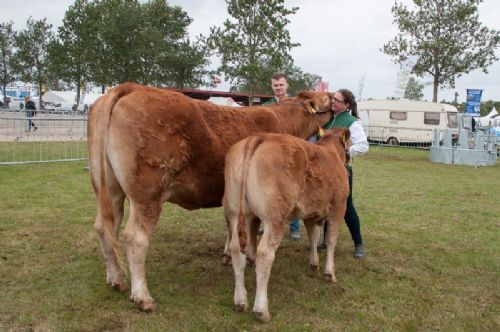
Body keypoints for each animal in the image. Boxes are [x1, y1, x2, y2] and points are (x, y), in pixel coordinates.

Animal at [88, 82, 334, 312]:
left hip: (110, 190)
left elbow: (232, 228)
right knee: (135, 237)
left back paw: (116, 280)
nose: (337, 96)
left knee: (105, 228)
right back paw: (143, 298)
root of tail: (130, 87)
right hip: (147, 196)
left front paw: (229, 254)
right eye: (325, 97)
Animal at [225, 127, 350, 322]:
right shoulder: (338, 207)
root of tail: (259, 137)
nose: (350, 158)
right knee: (265, 254)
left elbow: (313, 238)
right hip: (274, 218)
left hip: (236, 214)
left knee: (237, 251)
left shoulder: (311, 214)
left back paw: (240, 302)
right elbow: (331, 240)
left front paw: (314, 263)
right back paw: (261, 310)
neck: (331, 152)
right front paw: (330, 273)